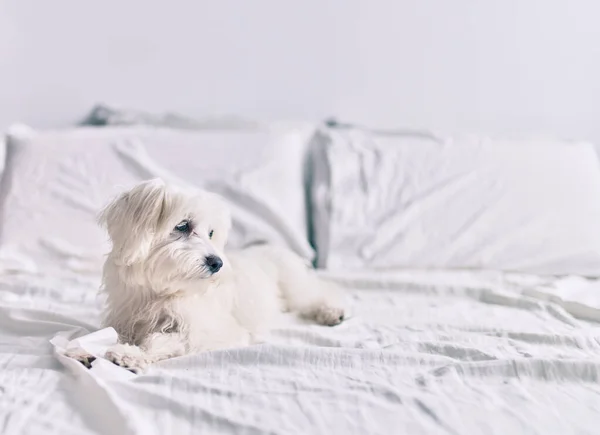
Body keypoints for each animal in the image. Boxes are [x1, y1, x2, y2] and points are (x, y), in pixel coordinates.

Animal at [78, 179, 346, 372]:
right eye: (182, 225)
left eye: (211, 233)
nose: (217, 263)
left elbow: (165, 340)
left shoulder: (210, 331)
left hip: (295, 286)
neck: (161, 292)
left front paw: (131, 354)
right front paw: (85, 350)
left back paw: (332, 311)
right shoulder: (124, 319)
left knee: (320, 293)